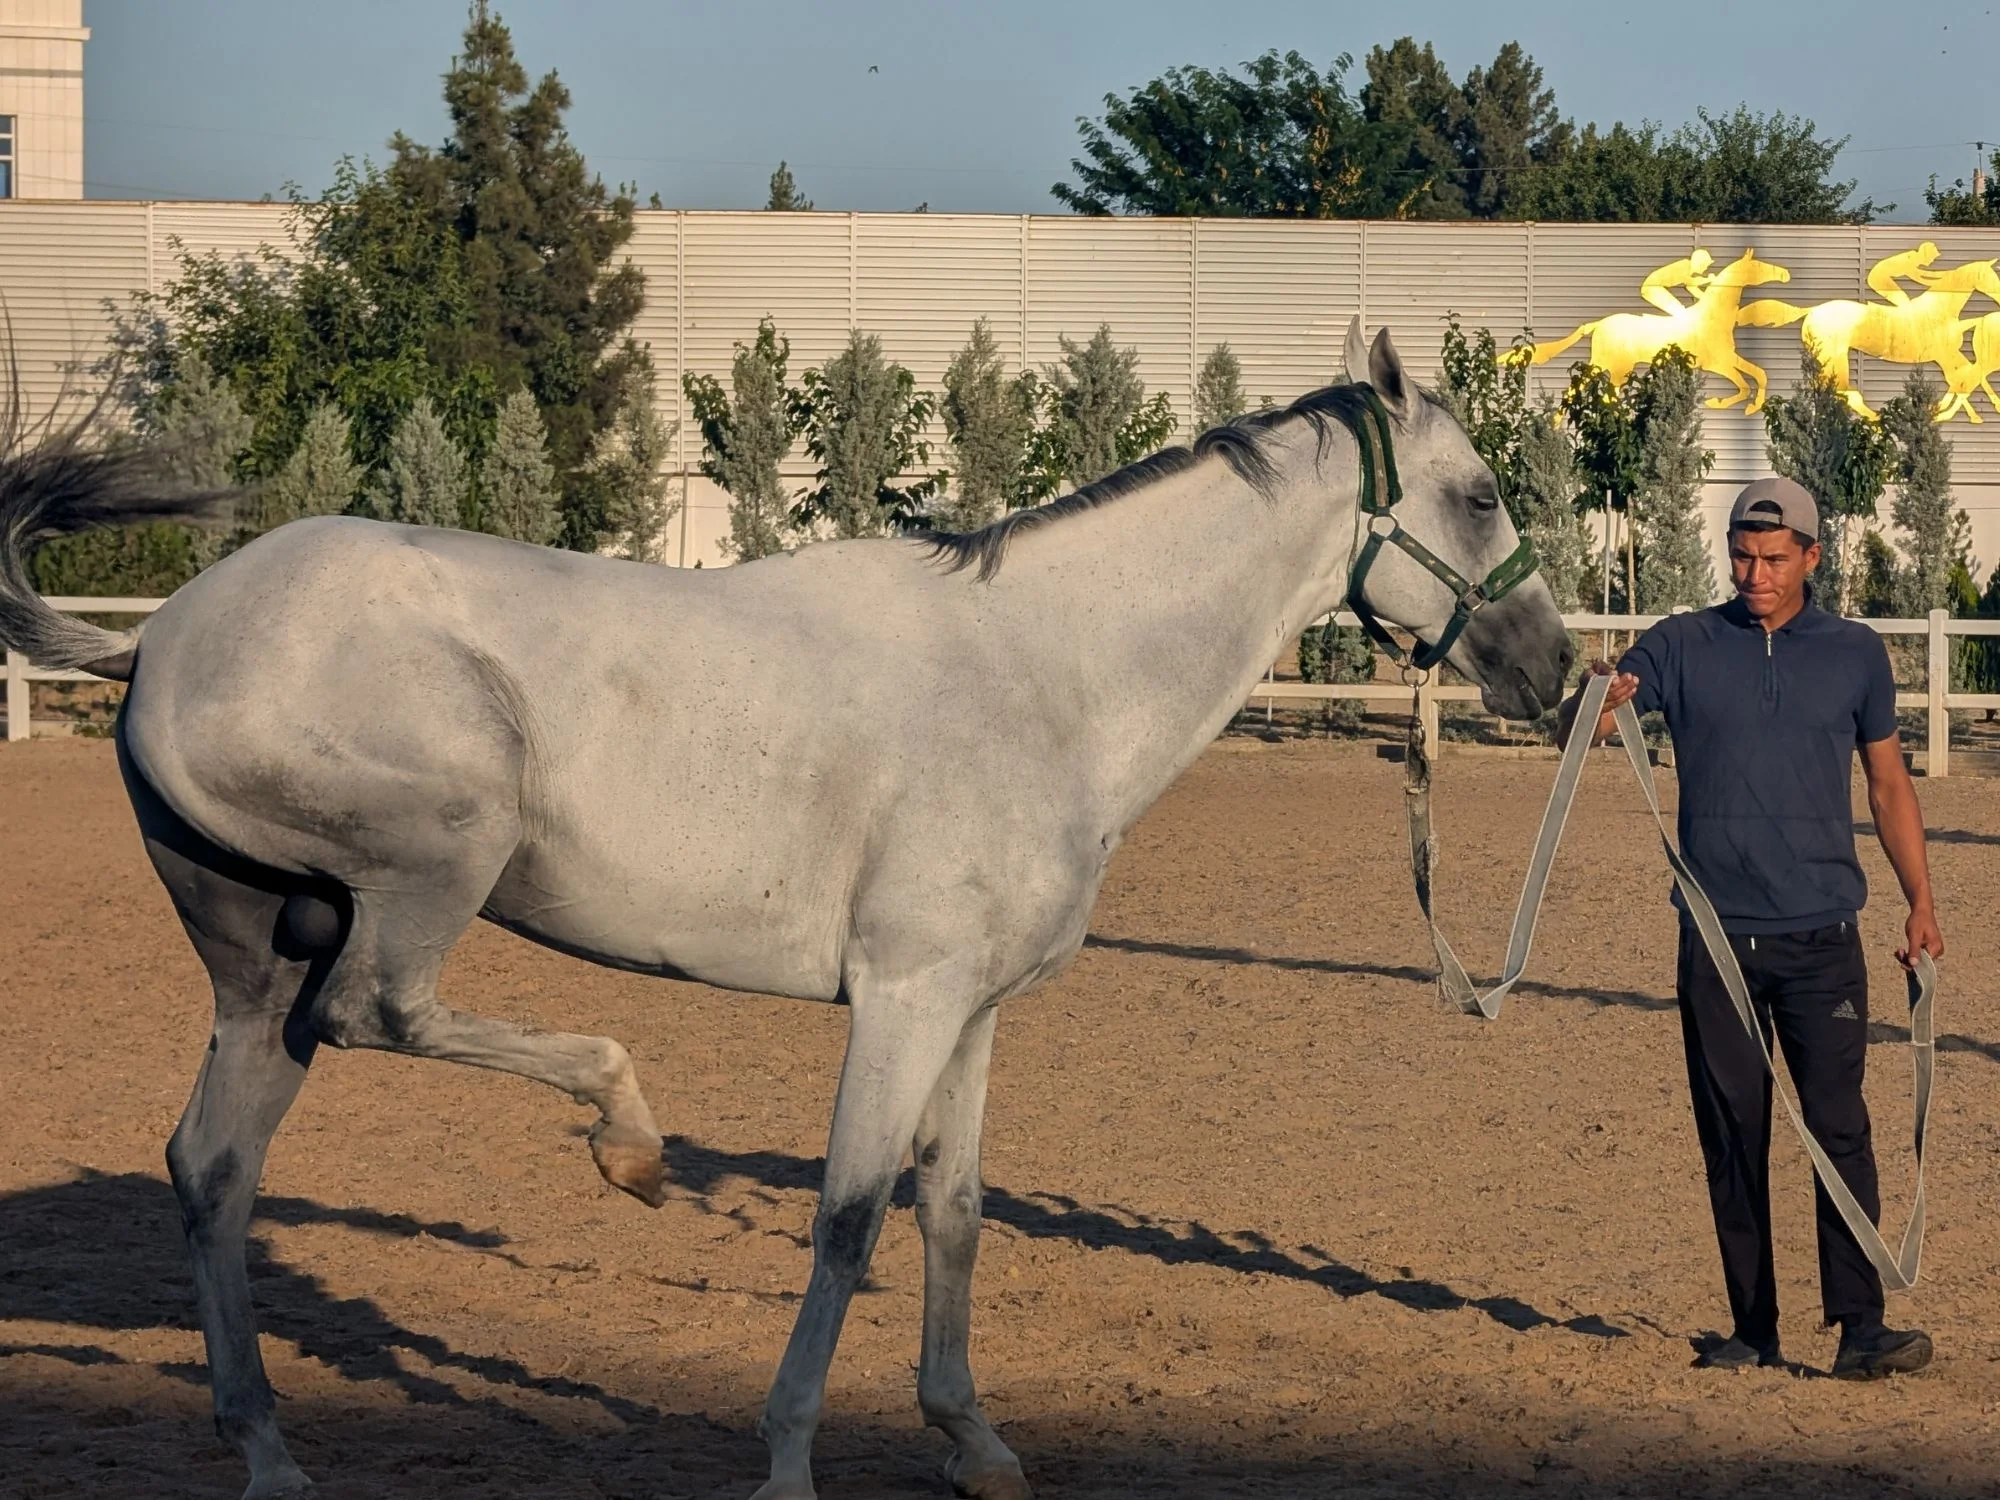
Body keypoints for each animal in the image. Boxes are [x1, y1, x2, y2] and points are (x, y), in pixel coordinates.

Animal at [0, 321, 1571, 1500]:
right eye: (1480, 494)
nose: (1553, 668)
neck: (1042, 674)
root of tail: (163, 637)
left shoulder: (971, 1014)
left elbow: (956, 1211)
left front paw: (975, 1443)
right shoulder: (903, 998)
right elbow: (852, 1218)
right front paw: (790, 1461)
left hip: (259, 960)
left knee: (213, 1166)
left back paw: (267, 1451)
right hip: (426, 873)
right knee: (383, 1015)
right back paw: (626, 1141)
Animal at [1519, 248, 1800, 413]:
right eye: (1759, 265)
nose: (1786, 274)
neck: (1714, 315)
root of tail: (1598, 324)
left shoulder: (1729, 358)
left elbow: (1759, 376)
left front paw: (1749, 407)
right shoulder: (1718, 363)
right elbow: (1745, 385)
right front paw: (1719, 402)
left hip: (1618, 369)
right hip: (1603, 364)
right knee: (1576, 391)